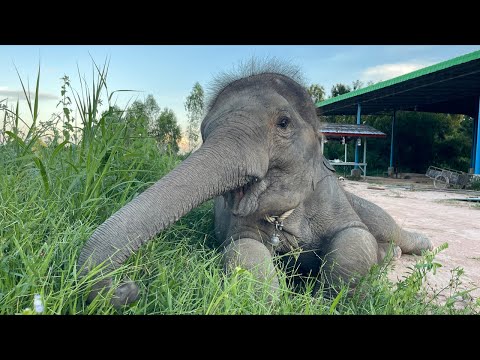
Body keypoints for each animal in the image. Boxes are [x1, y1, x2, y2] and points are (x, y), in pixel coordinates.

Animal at [77, 59, 434, 306]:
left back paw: (420, 246)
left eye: (284, 123)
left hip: (360, 202)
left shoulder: (331, 196)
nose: (127, 287)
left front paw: (332, 299)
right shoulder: (240, 226)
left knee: (385, 224)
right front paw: (275, 301)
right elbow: (245, 251)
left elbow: (355, 236)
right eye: (204, 130)